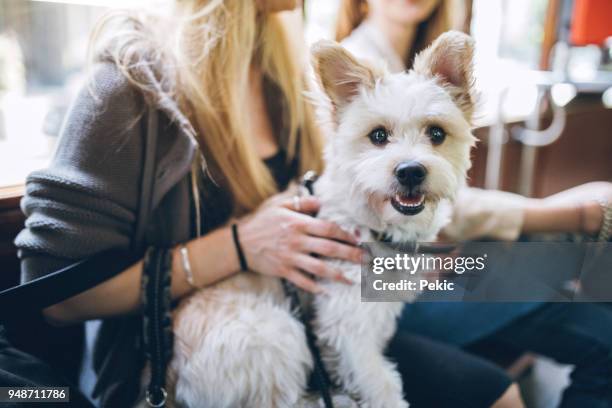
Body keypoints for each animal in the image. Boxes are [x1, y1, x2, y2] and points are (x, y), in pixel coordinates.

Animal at [167, 31, 478, 408]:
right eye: (378, 135)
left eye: (436, 133)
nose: (410, 172)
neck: (368, 223)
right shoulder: (347, 322)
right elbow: (379, 382)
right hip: (276, 333)